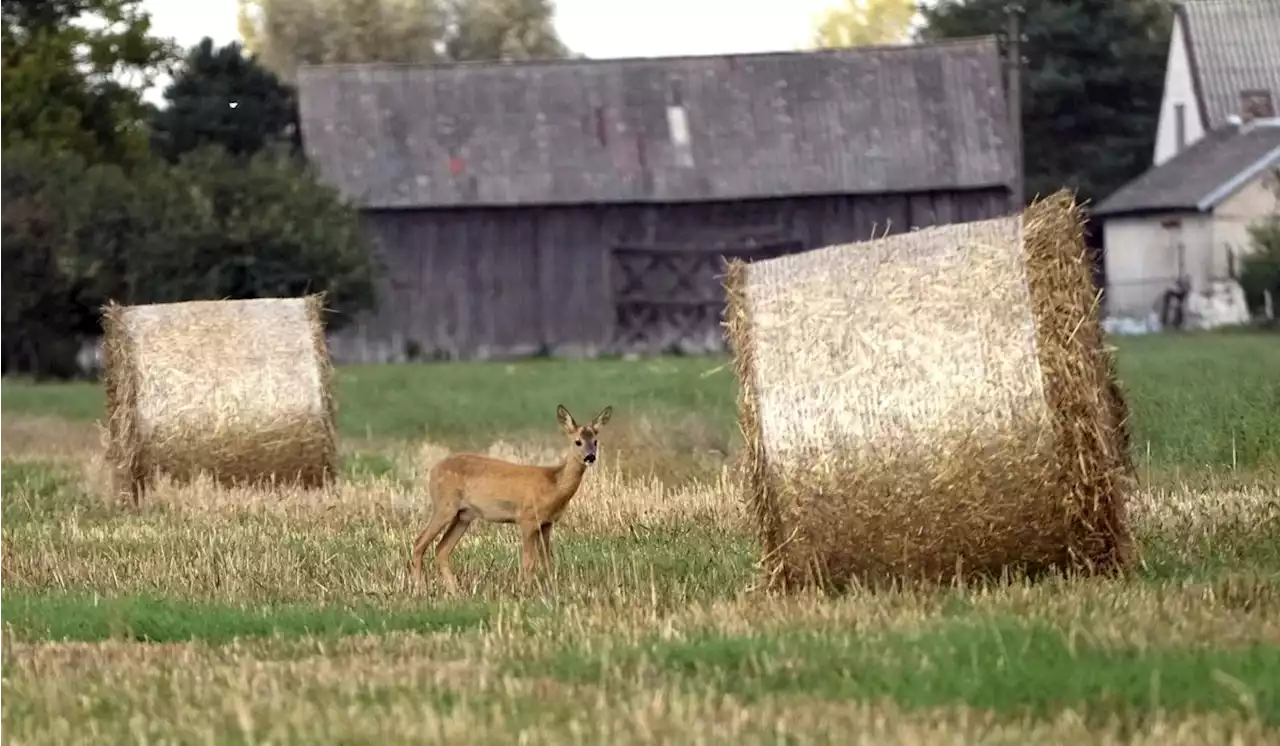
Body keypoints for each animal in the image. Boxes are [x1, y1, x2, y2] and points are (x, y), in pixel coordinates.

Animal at [407, 406, 611, 593]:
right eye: (577, 442)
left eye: (595, 441)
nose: (590, 457)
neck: (554, 484)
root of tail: (433, 471)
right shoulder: (527, 518)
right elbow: (528, 562)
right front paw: (524, 591)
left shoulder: (547, 523)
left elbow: (548, 560)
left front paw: (552, 590)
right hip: (444, 506)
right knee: (419, 543)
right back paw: (420, 590)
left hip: (463, 515)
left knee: (441, 550)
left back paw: (455, 592)